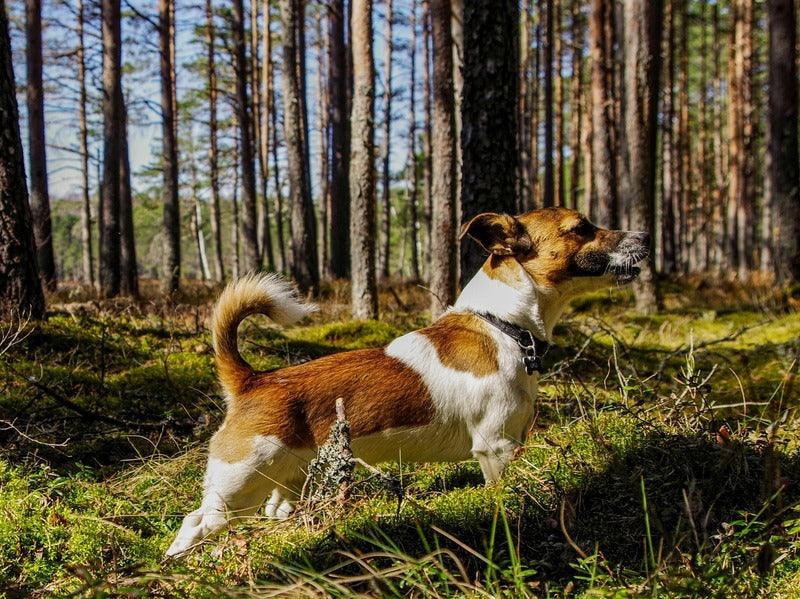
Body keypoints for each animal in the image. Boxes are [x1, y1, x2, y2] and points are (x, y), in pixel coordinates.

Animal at [166, 209, 648, 556]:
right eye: (582, 228)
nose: (645, 236)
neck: (502, 326)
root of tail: (253, 380)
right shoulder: (495, 449)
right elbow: (501, 496)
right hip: (237, 488)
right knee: (194, 523)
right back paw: (176, 564)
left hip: (284, 485)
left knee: (272, 511)